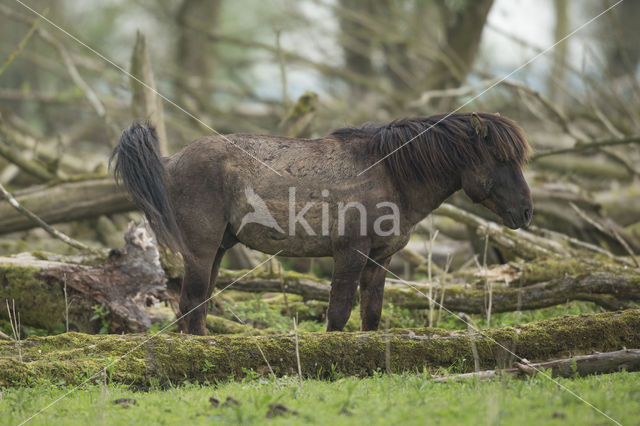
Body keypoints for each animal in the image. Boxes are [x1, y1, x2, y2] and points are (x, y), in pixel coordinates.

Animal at [112, 111, 532, 334]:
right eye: (500, 159)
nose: (527, 212)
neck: (390, 173)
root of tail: (170, 161)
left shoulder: (380, 259)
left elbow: (370, 315)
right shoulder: (350, 253)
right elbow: (339, 312)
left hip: (217, 250)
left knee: (195, 308)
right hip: (200, 252)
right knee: (191, 305)